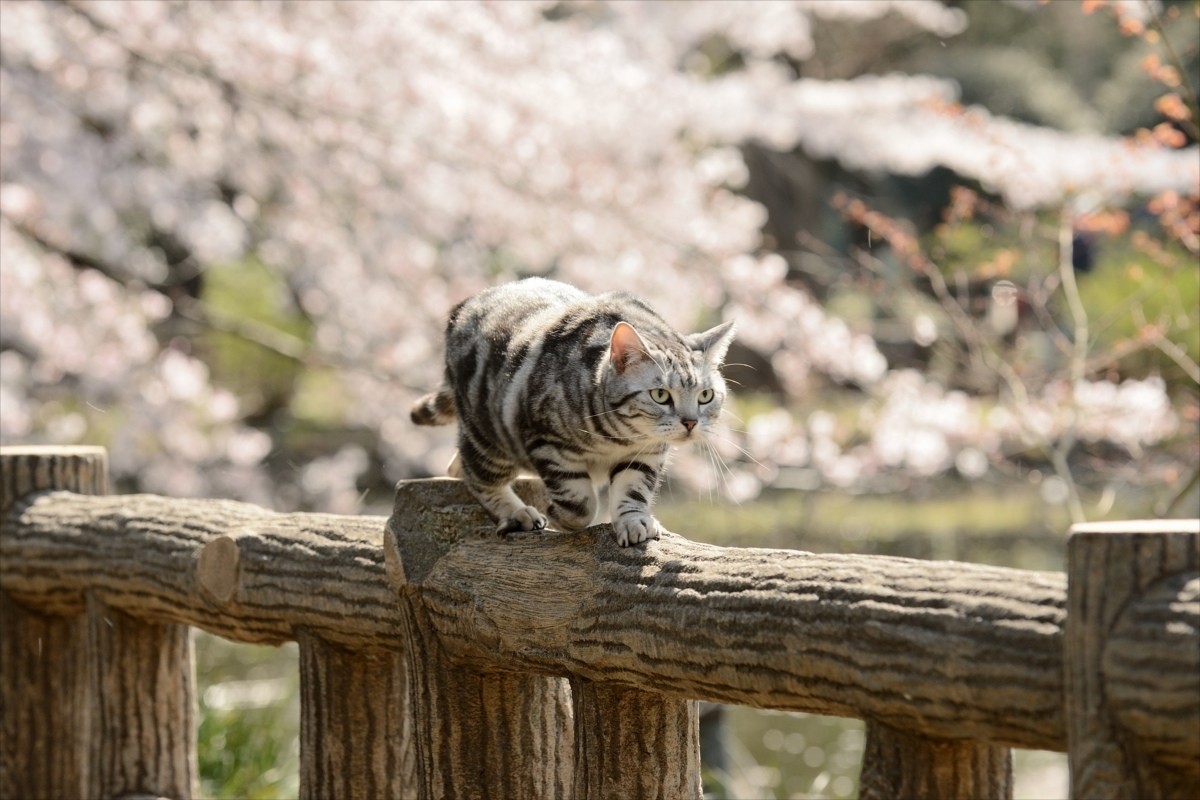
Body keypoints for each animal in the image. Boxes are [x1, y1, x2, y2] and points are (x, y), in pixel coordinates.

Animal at [412, 278, 734, 546]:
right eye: (660, 395)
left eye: (705, 396)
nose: (691, 422)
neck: (618, 438)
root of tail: (466, 303)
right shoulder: (547, 444)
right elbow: (580, 505)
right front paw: (555, 513)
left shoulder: (645, 453)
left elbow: (633, 491)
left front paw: (634, 521)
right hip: (487, 435)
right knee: (475, 474)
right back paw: (517, 513)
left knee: (459, 466)